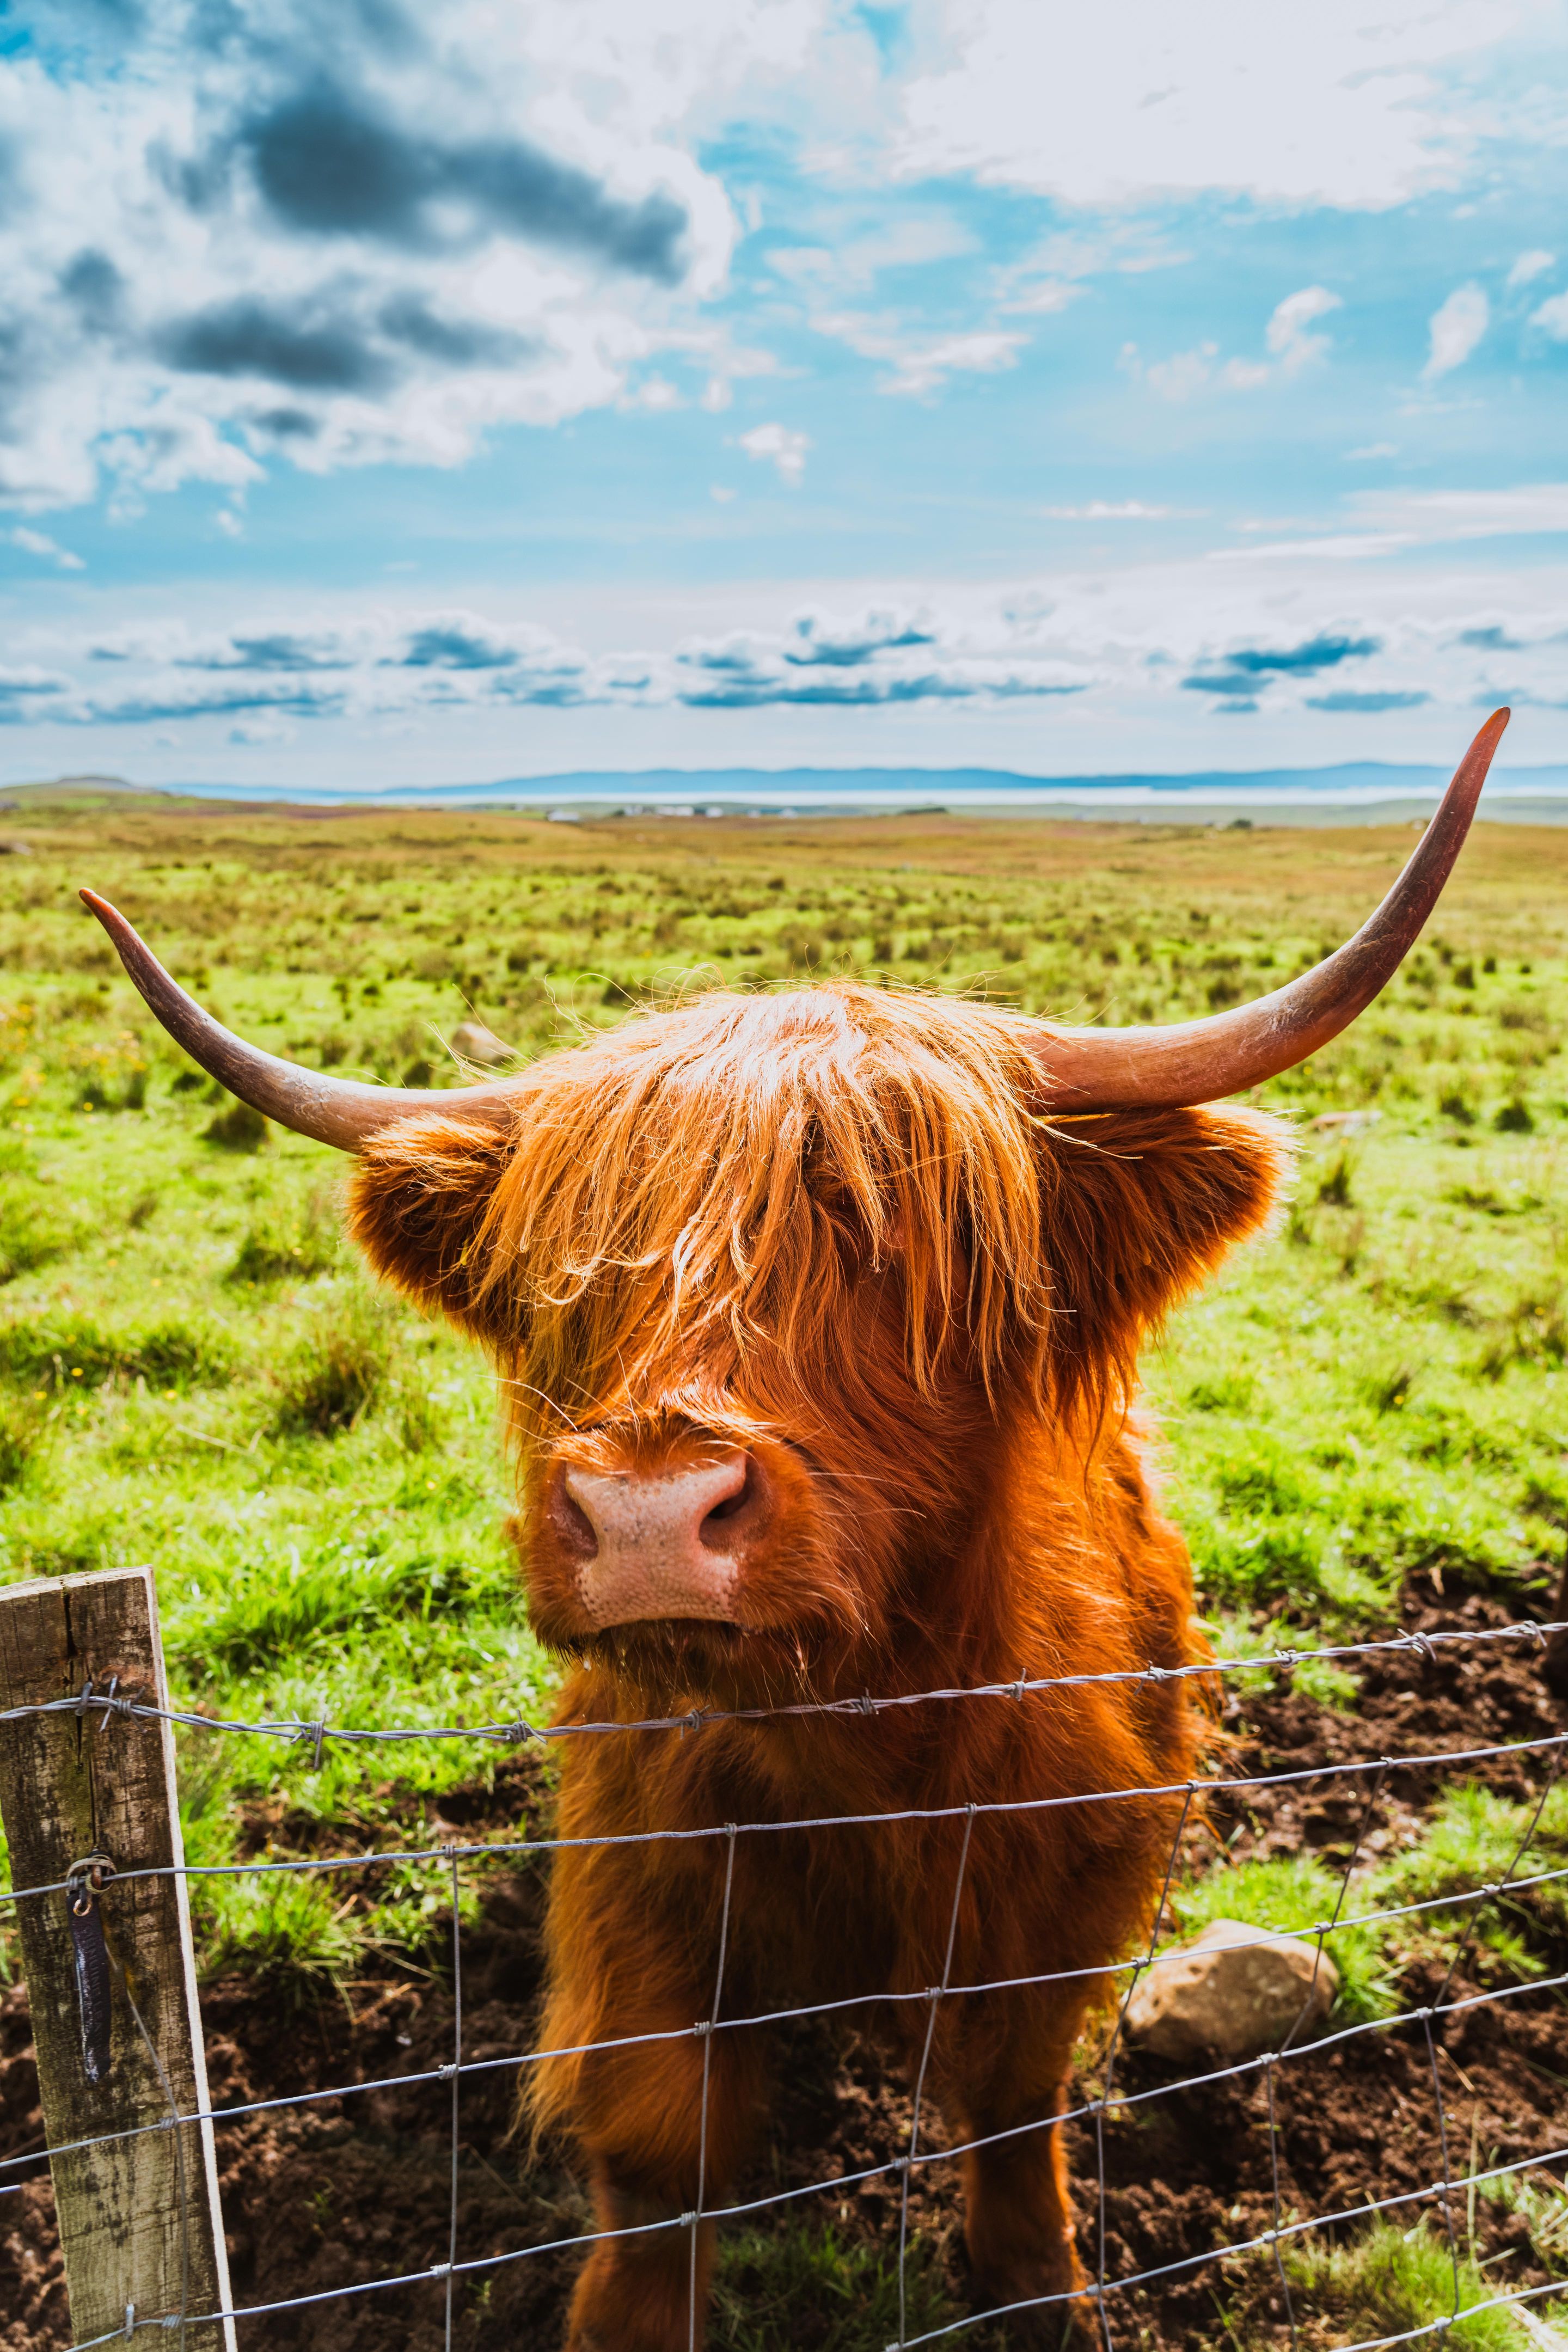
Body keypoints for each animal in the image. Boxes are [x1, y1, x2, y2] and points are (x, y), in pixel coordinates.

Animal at [85, 713, 1507, 2350]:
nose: (647, 1515)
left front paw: (1037, 2291)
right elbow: (657, 2149)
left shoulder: (1060, 1881)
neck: (855, 1754)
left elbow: (1012, 2101)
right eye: (568, 1264)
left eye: (887, 1231)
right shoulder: (642, 1876)